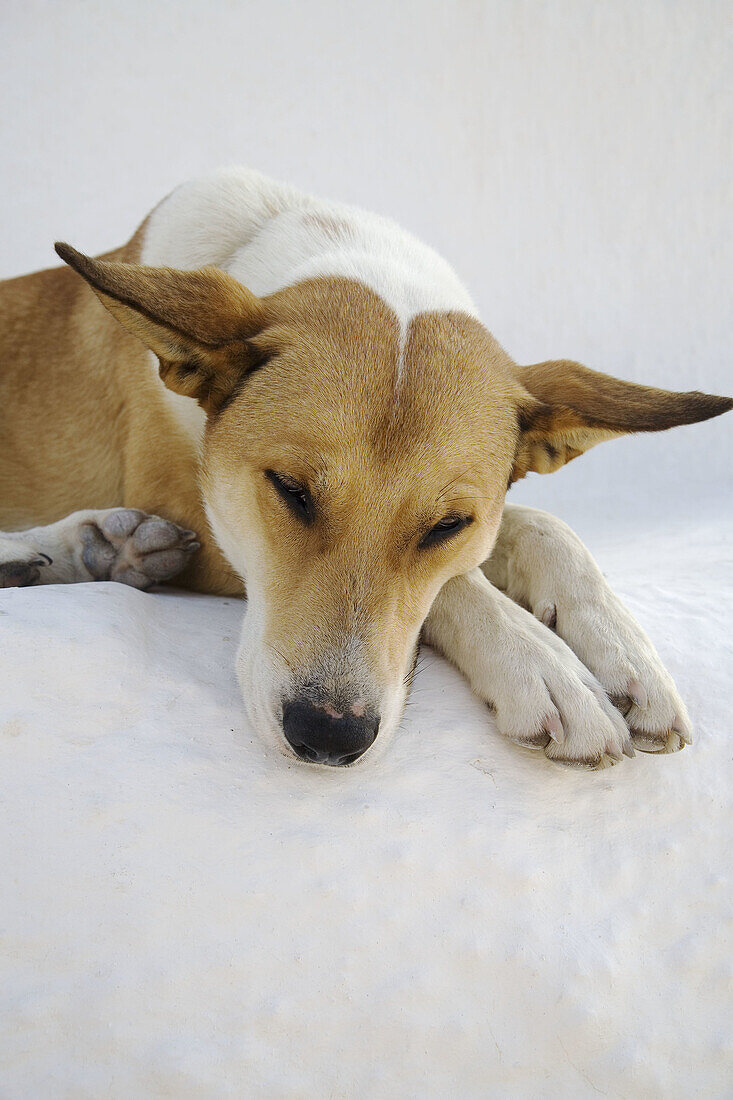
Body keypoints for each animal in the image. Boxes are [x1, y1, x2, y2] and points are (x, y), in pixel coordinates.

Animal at [0, 169, 726, 765]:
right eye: (290, 490)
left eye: (447, 525)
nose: (327, 735)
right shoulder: (189, 509)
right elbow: (459, 586)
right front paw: (545, 667)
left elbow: (538, 527)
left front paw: (624, 654)